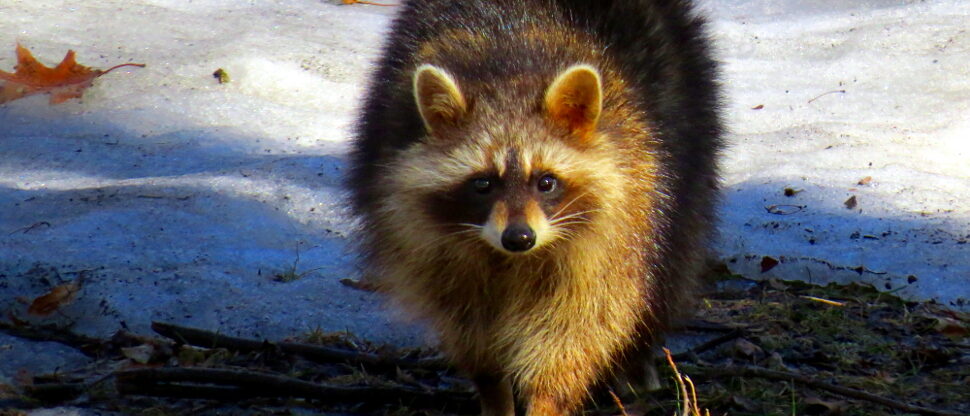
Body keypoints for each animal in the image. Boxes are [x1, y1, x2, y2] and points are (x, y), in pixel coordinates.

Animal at [348, 0, 721, 414]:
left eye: (546, 182)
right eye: (483, 183)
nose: (519, 237)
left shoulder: (616, 228)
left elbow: (577, 331)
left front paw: (547, 399)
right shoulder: (431, 249)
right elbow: (472, 333)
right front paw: (494, 393)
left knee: (672, 263)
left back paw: (640, 356)